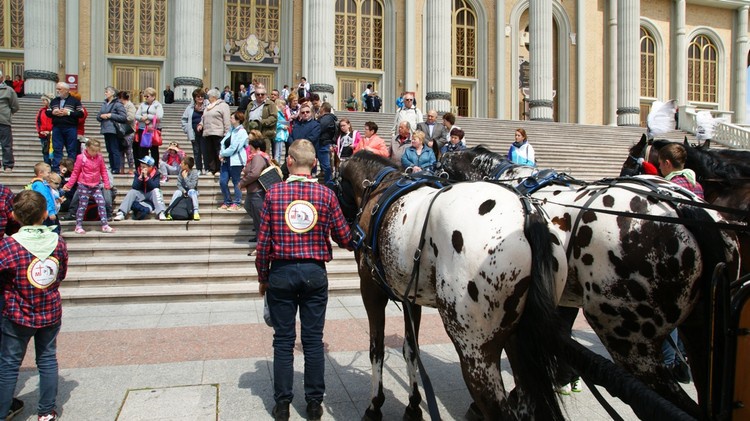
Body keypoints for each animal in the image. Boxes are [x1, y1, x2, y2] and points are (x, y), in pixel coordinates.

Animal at [334, 152, 568, 420]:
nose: (345, 236)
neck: (378, 188)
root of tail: (527, 215)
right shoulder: (410, 297)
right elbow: (410, 350)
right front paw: (413, 405)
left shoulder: (370, 290)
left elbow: (377, 349)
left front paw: (375, 405)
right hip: (521, 345)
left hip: (474, 350)